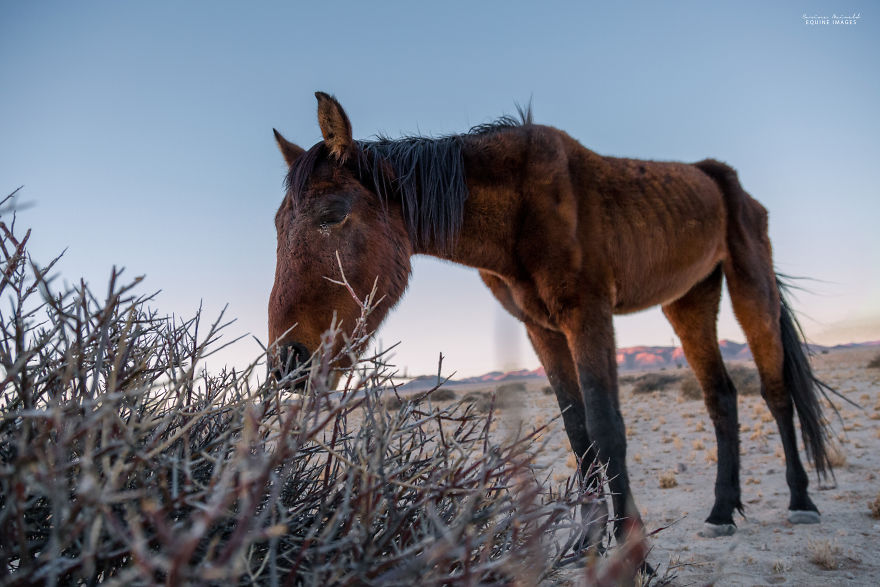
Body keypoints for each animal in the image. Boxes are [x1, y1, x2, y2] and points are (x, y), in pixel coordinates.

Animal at [268, 91, 838, 555]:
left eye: (331, 215)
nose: (286, 362)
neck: (522, 207)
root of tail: (721, 177)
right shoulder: (541, 328)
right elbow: (578, 431)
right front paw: (586, 543)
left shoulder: (588, 314)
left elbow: (607, 428)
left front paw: (631, 553)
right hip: (689, 299)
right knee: (720, 395)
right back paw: (722, 511)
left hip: (751, 286)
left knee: (776, 388)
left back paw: (801, 500)